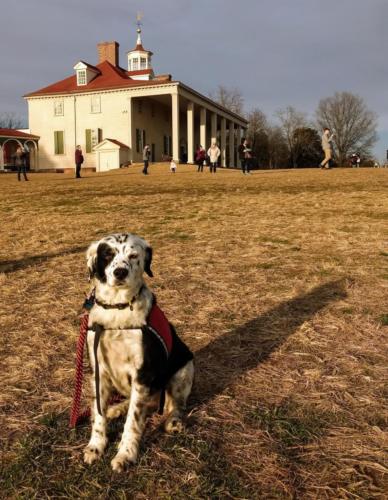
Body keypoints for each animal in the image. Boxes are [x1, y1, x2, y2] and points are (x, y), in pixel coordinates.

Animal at [84, 232, 194, 470]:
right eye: (108, 254)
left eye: (133, 256)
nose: (120, 272)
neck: (118, 310)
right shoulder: (98, 371)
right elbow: (98, 414)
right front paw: (95, 447)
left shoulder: (142, 373)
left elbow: (132, 422)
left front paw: (125, 454)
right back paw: (116, 408)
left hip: (183, 371)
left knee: (176, 405)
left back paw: (173, 421)